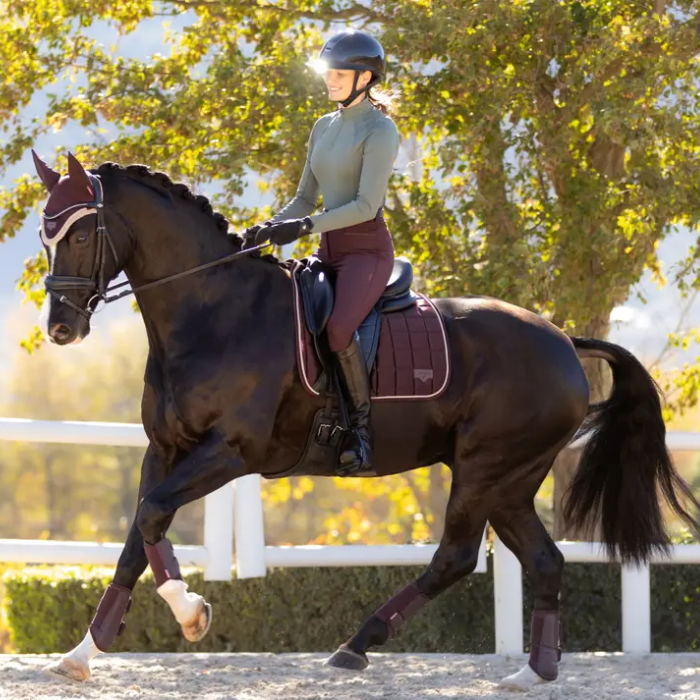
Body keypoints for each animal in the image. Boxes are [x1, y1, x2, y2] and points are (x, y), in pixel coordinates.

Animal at [30, 151, 699, 689]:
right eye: (45, 233)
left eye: (82, 234)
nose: (61, 328)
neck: (213, 310)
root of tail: (562, 339)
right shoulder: (165, 450)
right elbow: (136, 537)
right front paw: (84, 653)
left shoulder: (230, 452)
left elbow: (150, 517)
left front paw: (193, 611)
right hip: (510, 482)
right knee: (542, 560)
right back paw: (531, 671)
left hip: (486, 469)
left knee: (457, 556)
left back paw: (357, 646)